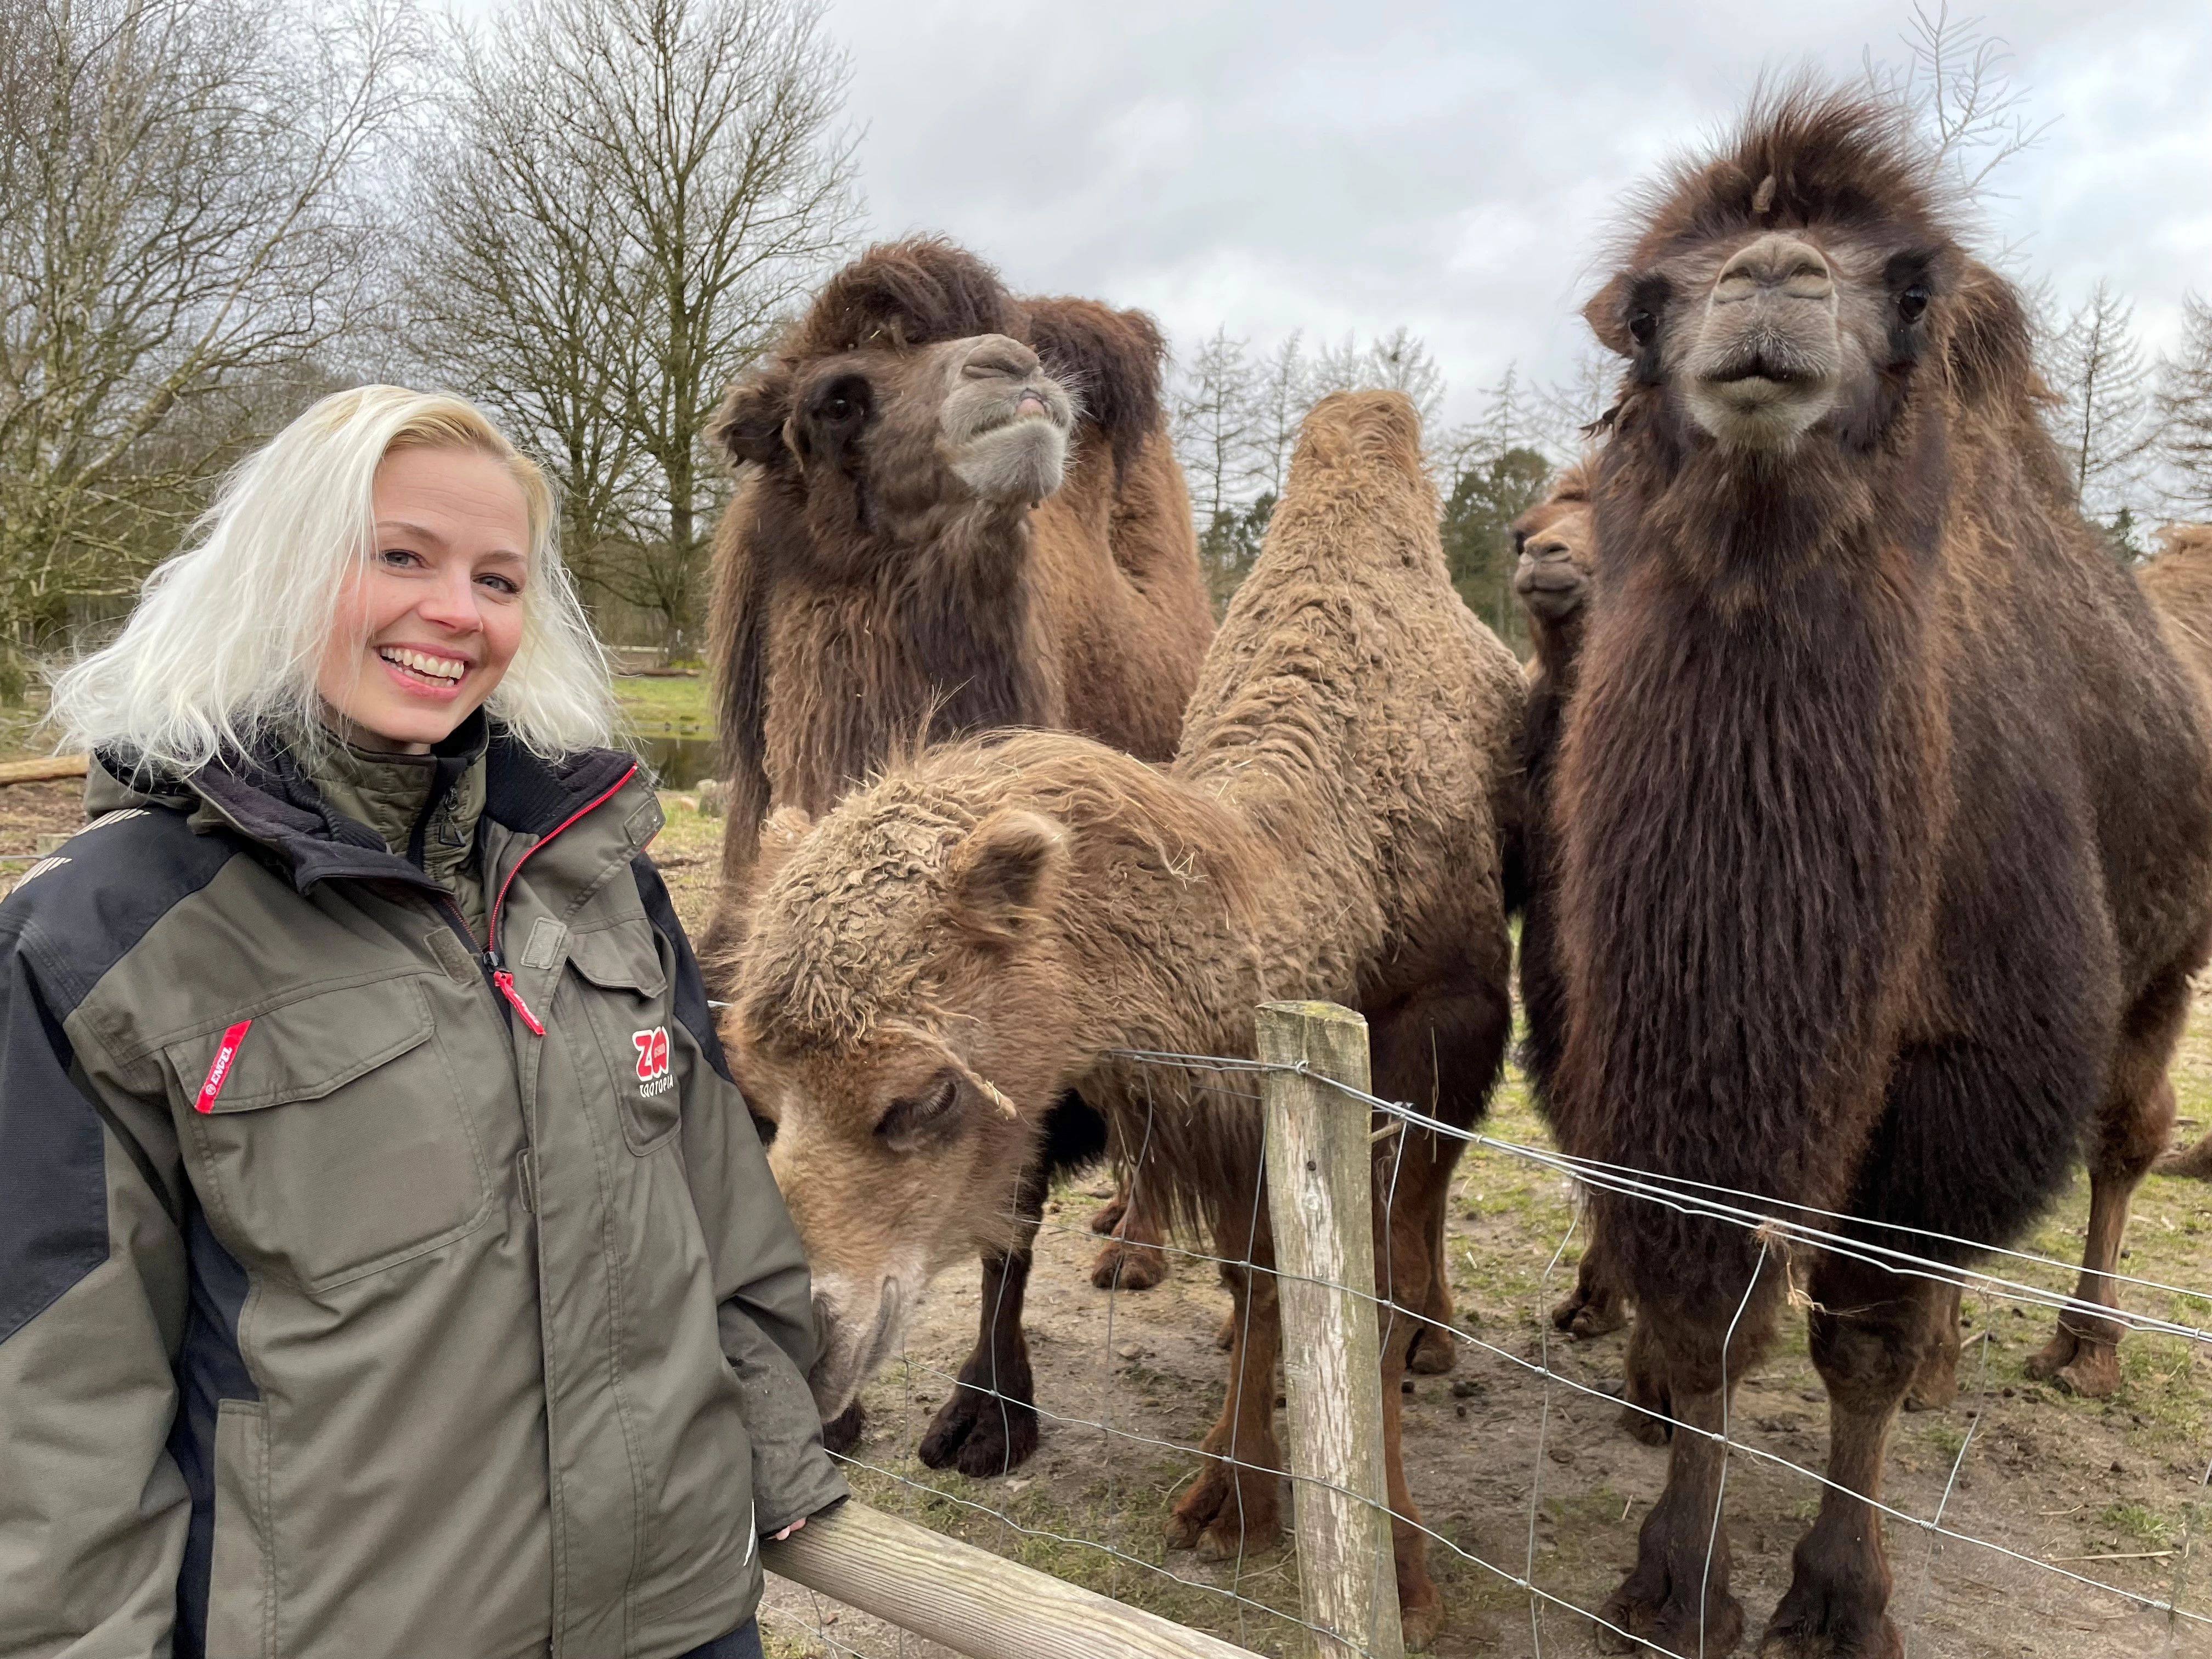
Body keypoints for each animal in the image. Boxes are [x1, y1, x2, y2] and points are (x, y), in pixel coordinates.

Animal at [725, 393, 1522, 1654]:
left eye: (923, 1094)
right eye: (758, 1091)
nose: (798, 1343)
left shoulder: (1436, 1026)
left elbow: (1372, 1287)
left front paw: (1400, 1572)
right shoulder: (1236, 1079)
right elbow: (1259, 1272)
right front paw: (1231, 1495)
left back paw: (1434, 1345)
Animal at [1557, 94, 2212, 1659]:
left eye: (1907, 295)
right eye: (1648, 306)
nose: (1771, 282)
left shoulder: (1969, 1061)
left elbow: (1860, 1328)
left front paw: (1840, 1598)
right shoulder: (1666, 1048)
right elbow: (1710, 1315)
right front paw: (1676, 1584)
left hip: (2166, 956)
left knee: (2121, 1138)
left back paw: (2082, 1350)